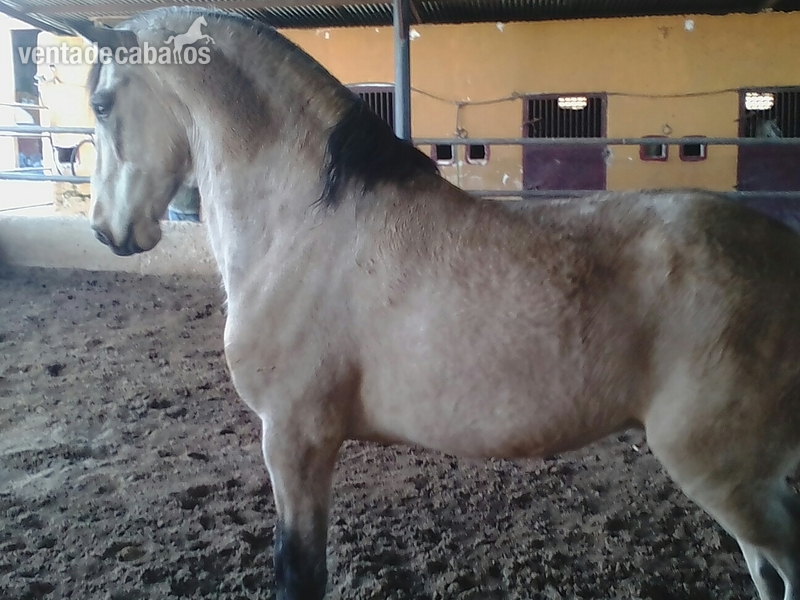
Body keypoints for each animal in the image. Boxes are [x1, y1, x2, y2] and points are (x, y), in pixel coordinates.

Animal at [74, 8, 800, 600]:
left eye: (104, 104)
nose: (107, 231)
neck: (307, 220)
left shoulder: (294, 438)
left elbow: (299, 573)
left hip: (724, 473)